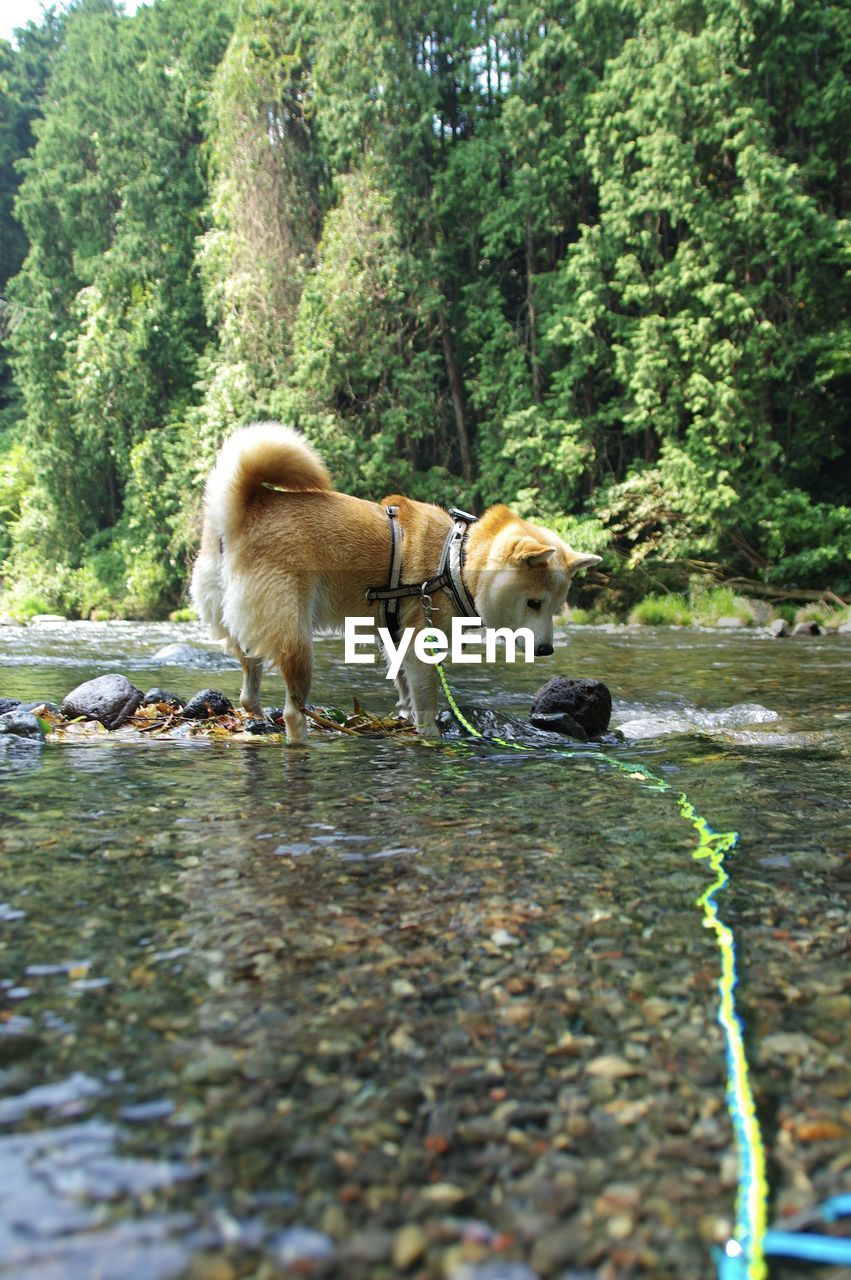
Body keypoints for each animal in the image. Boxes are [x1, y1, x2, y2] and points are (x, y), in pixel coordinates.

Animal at [190, 419, 604, 742]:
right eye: (534, 602)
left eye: (556, 606)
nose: (546, 650)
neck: (455, 561)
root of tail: (243, 513)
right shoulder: (423, 640)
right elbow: (426, 698)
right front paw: (431, 734)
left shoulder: (396, 637)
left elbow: (405, 689)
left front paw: (405, 718)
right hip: (296, 638)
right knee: (294, 710)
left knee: (249, 690)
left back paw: (258, 721)